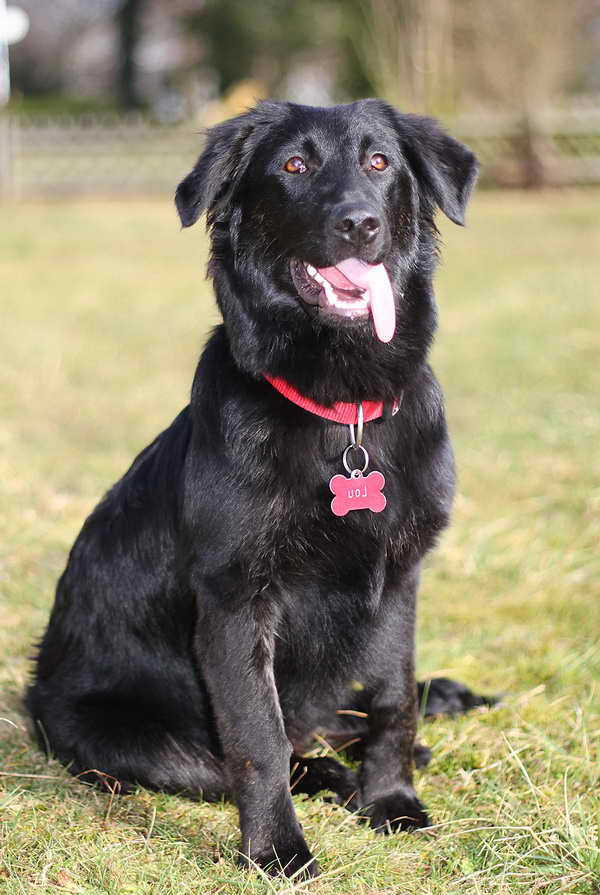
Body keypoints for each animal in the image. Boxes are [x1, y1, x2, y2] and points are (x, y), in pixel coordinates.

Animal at [28, 101, 486, 880]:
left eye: (379, 162)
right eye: (294, 166)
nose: (360, 224)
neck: (341, 412)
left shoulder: (399, 579)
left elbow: (393, 699)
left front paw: (392, 799)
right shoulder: (236, 602)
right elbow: (258, 740)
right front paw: (278, 849)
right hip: (126, 738)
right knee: (266, 752)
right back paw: (331, 778)